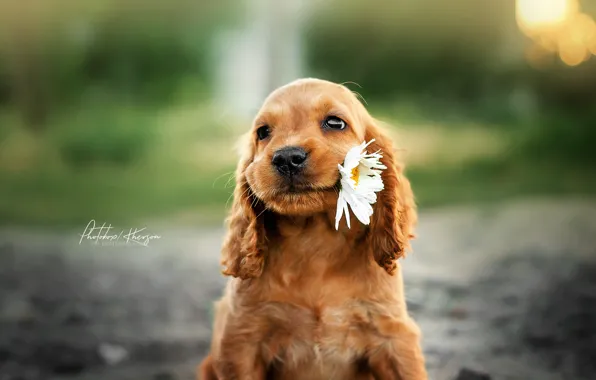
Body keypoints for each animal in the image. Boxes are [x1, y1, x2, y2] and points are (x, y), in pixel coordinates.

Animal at [198, 78, 426, 380]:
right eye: (263, 132)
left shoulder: (392, 335)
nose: (286, 157)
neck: (313, 237)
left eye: (335, 122)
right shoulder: (241, 339)